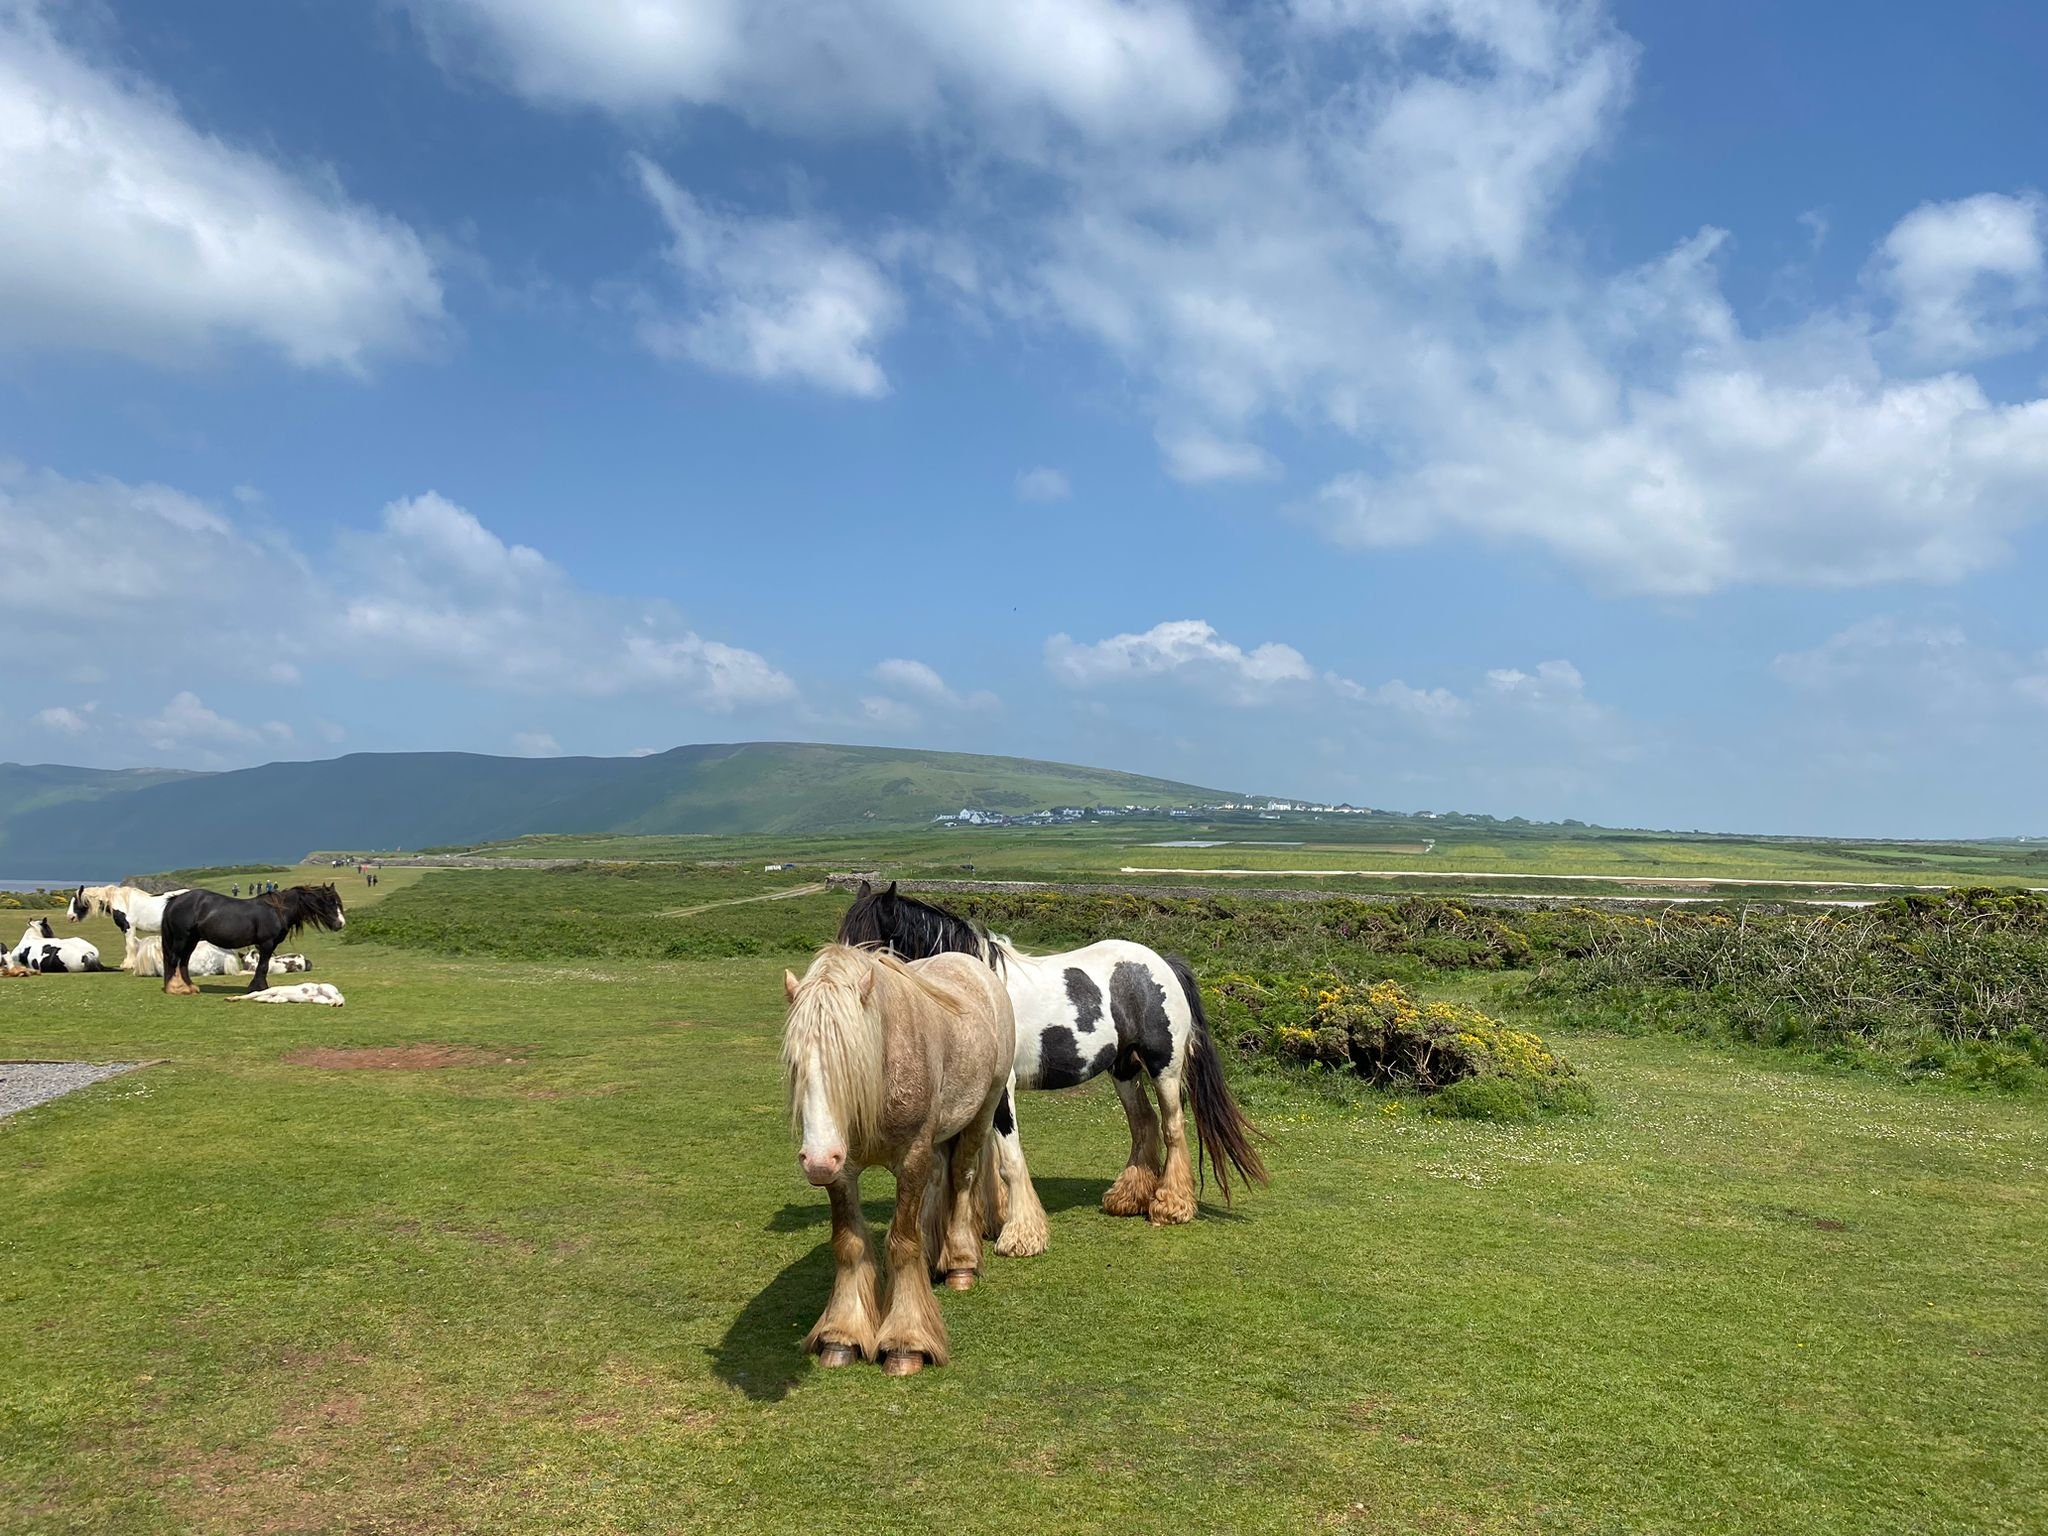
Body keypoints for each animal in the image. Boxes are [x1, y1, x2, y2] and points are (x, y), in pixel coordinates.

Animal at [158, 885, 346, 994]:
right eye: (329, 902)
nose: (341, 923)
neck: (277, 911)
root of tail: (175, 900)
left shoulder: (271, 945)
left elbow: (264, 966)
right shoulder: (266, 943)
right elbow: (263, 966)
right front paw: (257, 987)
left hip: (192, 940)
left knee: (184, 962)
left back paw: (190, 987)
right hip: (182, 938)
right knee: (173, 960)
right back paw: (174, 989)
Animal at [782, 944, 1019, 1376]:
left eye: (854, 1062)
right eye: (794, 1064)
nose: (818, 1160)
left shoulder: (911, 1159)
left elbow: (902, 1242)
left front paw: (906, 1343)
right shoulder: (843, 1174)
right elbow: (849, 1244)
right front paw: (842, 1335)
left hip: (983, 1112)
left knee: (962, 1178)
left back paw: (960, 1262)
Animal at [836, 882, 1267, 1245]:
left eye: (870, 947)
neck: (981, 991)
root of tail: (1162, 963)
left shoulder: (1004, 1091)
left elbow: (1009, 1160)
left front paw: (1020, 1236)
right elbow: (986, 1160)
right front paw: (991, 1222)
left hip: (1165, 1067)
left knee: (1173, 1127)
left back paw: (1171, 1206)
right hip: (1124, 1069)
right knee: (1143, 1124)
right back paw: (1128, 1198)